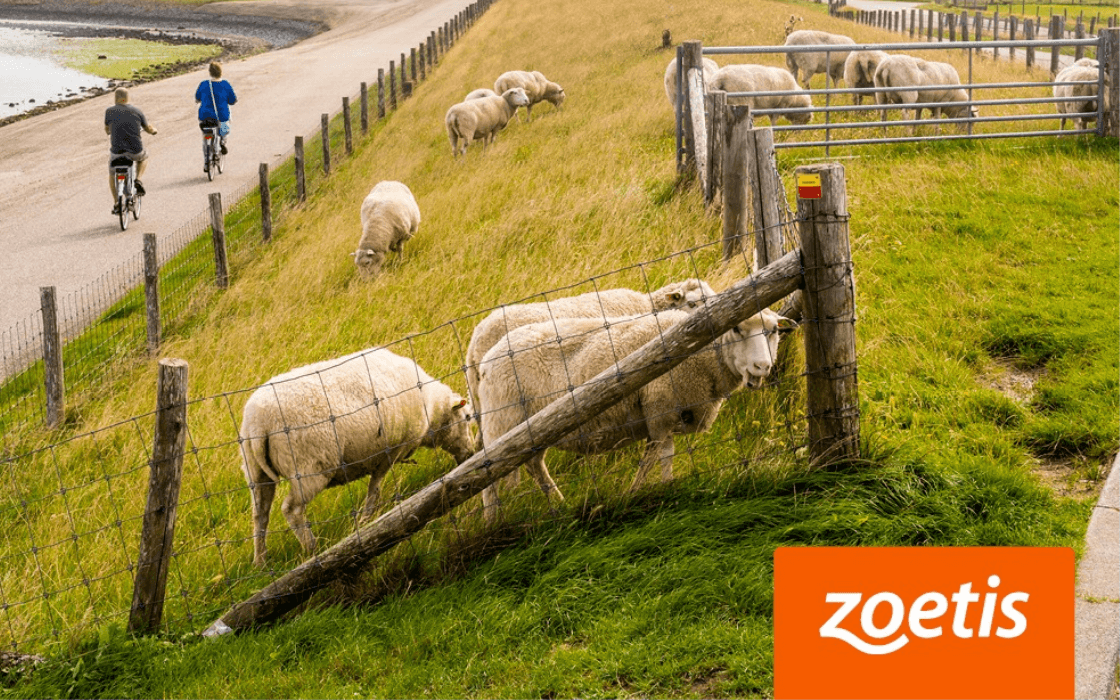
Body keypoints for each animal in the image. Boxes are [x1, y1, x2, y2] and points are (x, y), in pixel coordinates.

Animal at [238, 347, 477, 565]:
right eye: (467, 418)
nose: (471, 453)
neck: (432, 410)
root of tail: (257, 423)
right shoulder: (390, 452)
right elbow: (375, 488)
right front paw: (366, 521)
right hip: (310, 469)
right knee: (291, 509)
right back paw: (312, 548)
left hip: (256, 473)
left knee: (260, 514)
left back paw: (260, 561)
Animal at [475, 307, 795, 517]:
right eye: (737, 328)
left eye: (774, 331)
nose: (762, 367)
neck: (704, 351)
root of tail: (486, 360)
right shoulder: (659, 410)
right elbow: (655, 458)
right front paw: (641, 492)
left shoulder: (669, 413)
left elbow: (662, 456)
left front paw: (661, 488)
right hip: (502, 423)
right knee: (489, 482)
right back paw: (493, 524)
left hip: (530, 432)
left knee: (535, 466)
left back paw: (560, 504)